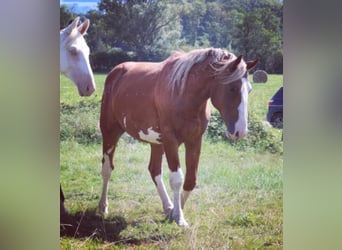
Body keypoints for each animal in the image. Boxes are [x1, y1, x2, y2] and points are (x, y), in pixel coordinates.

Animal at [98, 47, 256, 226]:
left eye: (249, 90)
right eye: (232, 88)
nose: (240, 132)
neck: (183, 93)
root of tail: (115, 72)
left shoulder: (194, 140)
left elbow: (190, 180)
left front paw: (174, 211)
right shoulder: (170, 140)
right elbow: (177, 179)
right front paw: (179, 217)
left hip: (157, 142)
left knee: (154, 171)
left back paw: (167, 206)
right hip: (110, 132)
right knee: (107, 168)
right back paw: (103, 206)